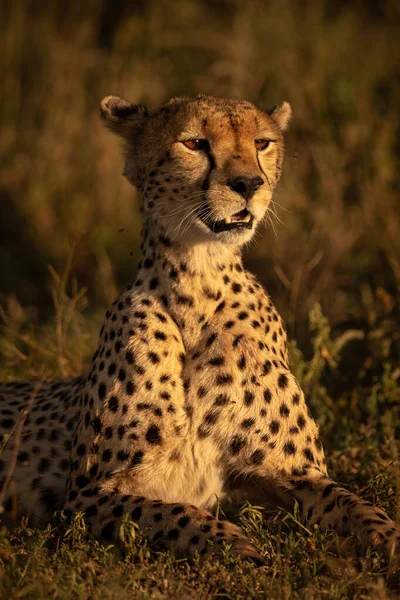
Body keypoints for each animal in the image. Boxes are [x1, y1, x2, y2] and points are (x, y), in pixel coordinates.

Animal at [0, 94, 400, 568]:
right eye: (194, 143)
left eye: (261, 142)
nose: (248, 184)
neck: (199, 279)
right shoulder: (87, 492)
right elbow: (171, 513)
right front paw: (233, 543)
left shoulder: (298, 473)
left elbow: (359, 506)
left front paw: (389, 538)